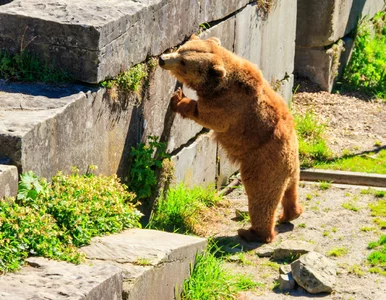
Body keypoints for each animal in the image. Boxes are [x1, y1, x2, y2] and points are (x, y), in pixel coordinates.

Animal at [158, 34, 304, 244]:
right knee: (290, 191)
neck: (218, 85)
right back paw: (290, 213)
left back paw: (252, 233)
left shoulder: (228, 106)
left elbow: (206, 116)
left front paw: (178, 98)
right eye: (180, 49)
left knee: (261, 198)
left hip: (263, 165)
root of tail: (290, 162)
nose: (162, 59)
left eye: (184, 62)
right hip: (292, 169)